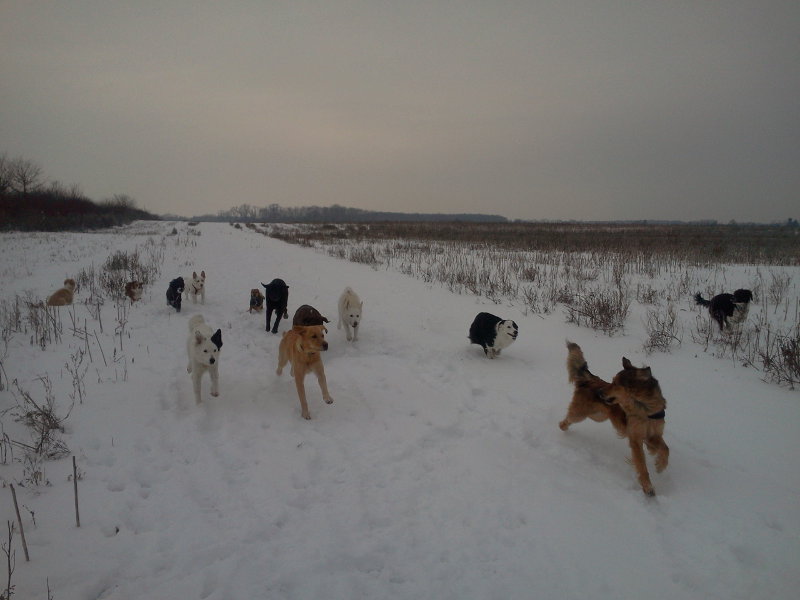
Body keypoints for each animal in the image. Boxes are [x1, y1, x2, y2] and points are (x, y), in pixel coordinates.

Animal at [560, 342, 672, 496]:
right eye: (611, 381)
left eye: (616, 384)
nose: (599, 393)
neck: (645, 409)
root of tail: (591, 379)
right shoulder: (635, 439)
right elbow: (642, 465)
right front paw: (648, 487)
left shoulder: (654, 435)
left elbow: (665, 449)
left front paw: (660, 464)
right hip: (580, 414)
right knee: (567, 419)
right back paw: (563, 426)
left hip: (598, 416)